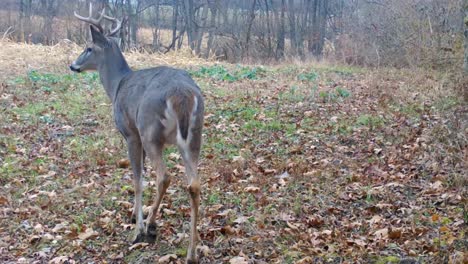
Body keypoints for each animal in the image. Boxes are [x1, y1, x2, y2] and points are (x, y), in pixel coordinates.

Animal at [69, 3, 203, 262]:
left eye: (88, 48)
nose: (73, 65)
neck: (116, 85)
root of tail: (182, 94)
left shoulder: (131, 133)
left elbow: (137, 178)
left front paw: (138, 225)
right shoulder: (139, 137)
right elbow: (142, 174)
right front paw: (134, 214)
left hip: (151, 131)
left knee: (164, 176)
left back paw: (149, 227)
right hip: (194, 136)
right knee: (194, 184)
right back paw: (191, 253)